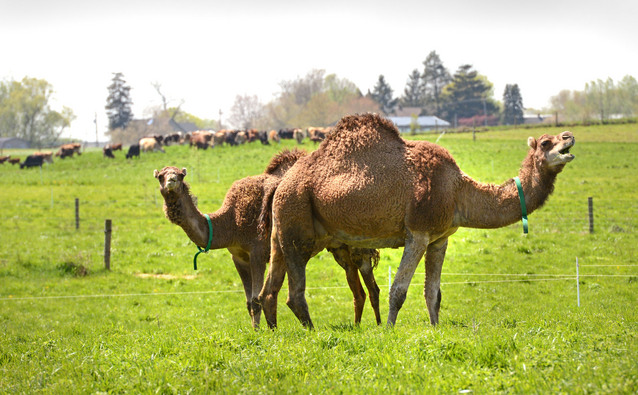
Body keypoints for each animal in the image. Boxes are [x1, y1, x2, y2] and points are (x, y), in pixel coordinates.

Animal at [155, 149, 384, 328]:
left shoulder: (257, 251)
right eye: (161, 176)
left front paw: (261, 332)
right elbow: (249, 301)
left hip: (358, 243)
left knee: (371, 283)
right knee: (356, 287)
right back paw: (357, 326)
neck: (230, 222)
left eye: (180, 175)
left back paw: (379, 325)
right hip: (339, 248)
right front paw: (256, 331)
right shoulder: (238, 257)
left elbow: (256, 299)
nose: (171, 182)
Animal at [258, 113, 576, 330]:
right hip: (297, 221)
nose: (569, 135)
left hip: (284, 228)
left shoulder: (440, 238)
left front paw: (435, 329)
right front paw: (388, 331)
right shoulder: (418, 233)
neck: (456, 189)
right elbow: (398, 290)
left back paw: (273, 334)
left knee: (268, 290)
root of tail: (281, 183)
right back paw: (312, 332)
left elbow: (433, 292)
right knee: (294, 292)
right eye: (546, 142)